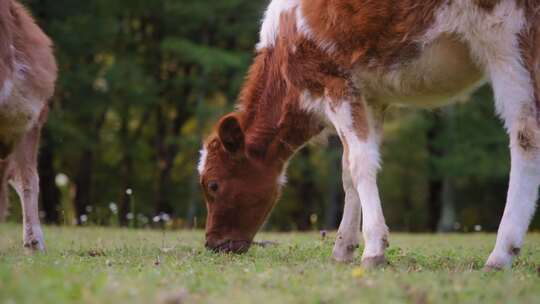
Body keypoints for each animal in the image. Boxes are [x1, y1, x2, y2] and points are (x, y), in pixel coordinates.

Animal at [199, 0, 540, 270]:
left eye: (213, 184)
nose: (212, 244)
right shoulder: (371, 96)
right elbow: (348, 170)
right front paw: (343, 248)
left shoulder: (336, 83)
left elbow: (361, 163)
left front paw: (373, 249)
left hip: (510, 41)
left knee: (526, 134)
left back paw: (501, 253)